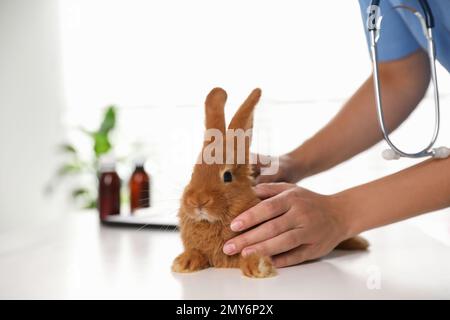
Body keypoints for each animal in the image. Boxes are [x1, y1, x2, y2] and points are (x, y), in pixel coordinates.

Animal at [171, 87, 368, 278]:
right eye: (193, 173)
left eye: (227, 176)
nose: (197, 201)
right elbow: (198, 252)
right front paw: (184, 262)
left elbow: (247, 256)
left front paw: (259, 267)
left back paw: (362, 243)